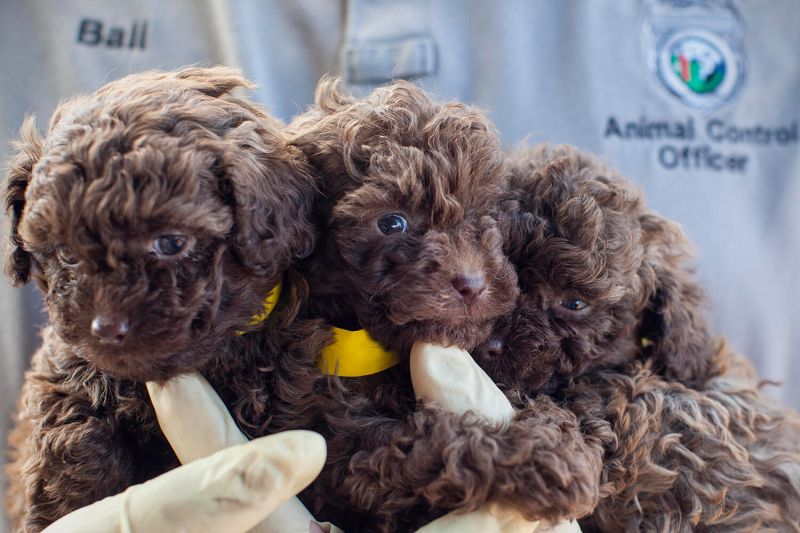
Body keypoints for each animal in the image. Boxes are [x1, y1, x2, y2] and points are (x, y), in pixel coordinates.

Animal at [253, 81, 604, 528]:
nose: (473, 284)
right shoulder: (340, 441)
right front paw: (545, 459)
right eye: (391, 223)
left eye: (486, 212)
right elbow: (428, 443)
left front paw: (556, 430)